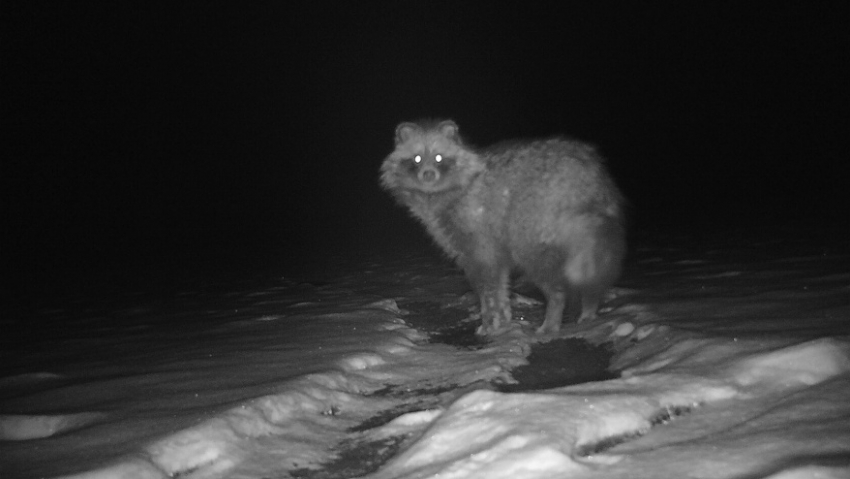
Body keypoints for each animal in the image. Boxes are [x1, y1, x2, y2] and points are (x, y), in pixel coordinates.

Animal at [380, 120, 624, 336]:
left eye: (439, 158)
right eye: (417, 159)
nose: (428, 174)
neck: (439, 193)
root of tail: (588, 170)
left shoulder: (477, 238)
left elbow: (487, 288)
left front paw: (490, 322)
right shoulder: (491, 247)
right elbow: (500, 287)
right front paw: (504, 319)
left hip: (532, 227)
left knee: (554, 279)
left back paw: (553, 316)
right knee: (591, 266)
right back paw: (590, 307)